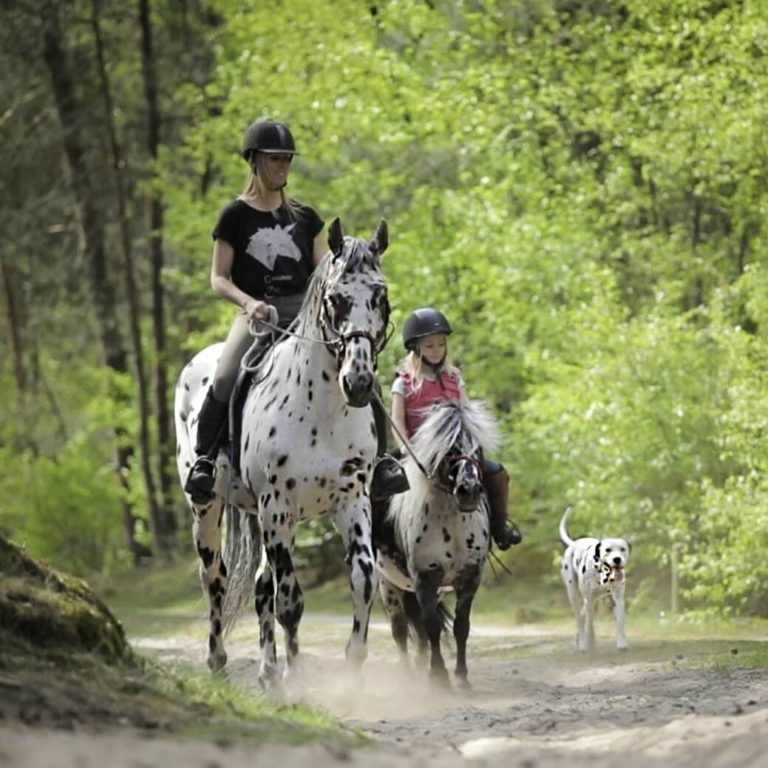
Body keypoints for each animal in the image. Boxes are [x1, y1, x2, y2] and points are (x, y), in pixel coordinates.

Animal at [175, 218, 390, 688]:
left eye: (380, 295)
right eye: (336, 298)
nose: (359, 382)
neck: (324, 408)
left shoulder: (352, 499)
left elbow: (364, 577)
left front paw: (353, 671)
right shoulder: (278, 504)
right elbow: (289, 599)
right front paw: (298, 677)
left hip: (268, 518)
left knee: (260, 587)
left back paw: (268, 671)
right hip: (211, 508)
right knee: (215, 578)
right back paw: (219, 661)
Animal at [376, 400, 500, 688]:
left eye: (477, 446)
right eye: (450, 447)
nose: (469, 491)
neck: (452, 524)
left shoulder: (469, 578)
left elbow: (461, 627)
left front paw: (461, 677)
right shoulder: (425, 578)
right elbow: (431, 625)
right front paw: (439, 677)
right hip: (389, 585)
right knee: (400, 629)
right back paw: (408, 675)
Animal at [560, 508, 632, 652]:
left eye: (622, 549)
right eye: (608, 550)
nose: (617, 559)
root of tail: (573, 544)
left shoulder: (618, 598)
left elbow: (620, 622)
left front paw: (622, 643)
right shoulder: (589, 598)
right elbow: (589, 624)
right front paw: (588, 643)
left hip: (598, 597)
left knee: (584, 615)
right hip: (574, 594)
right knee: (580, 619)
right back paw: (583, 643)